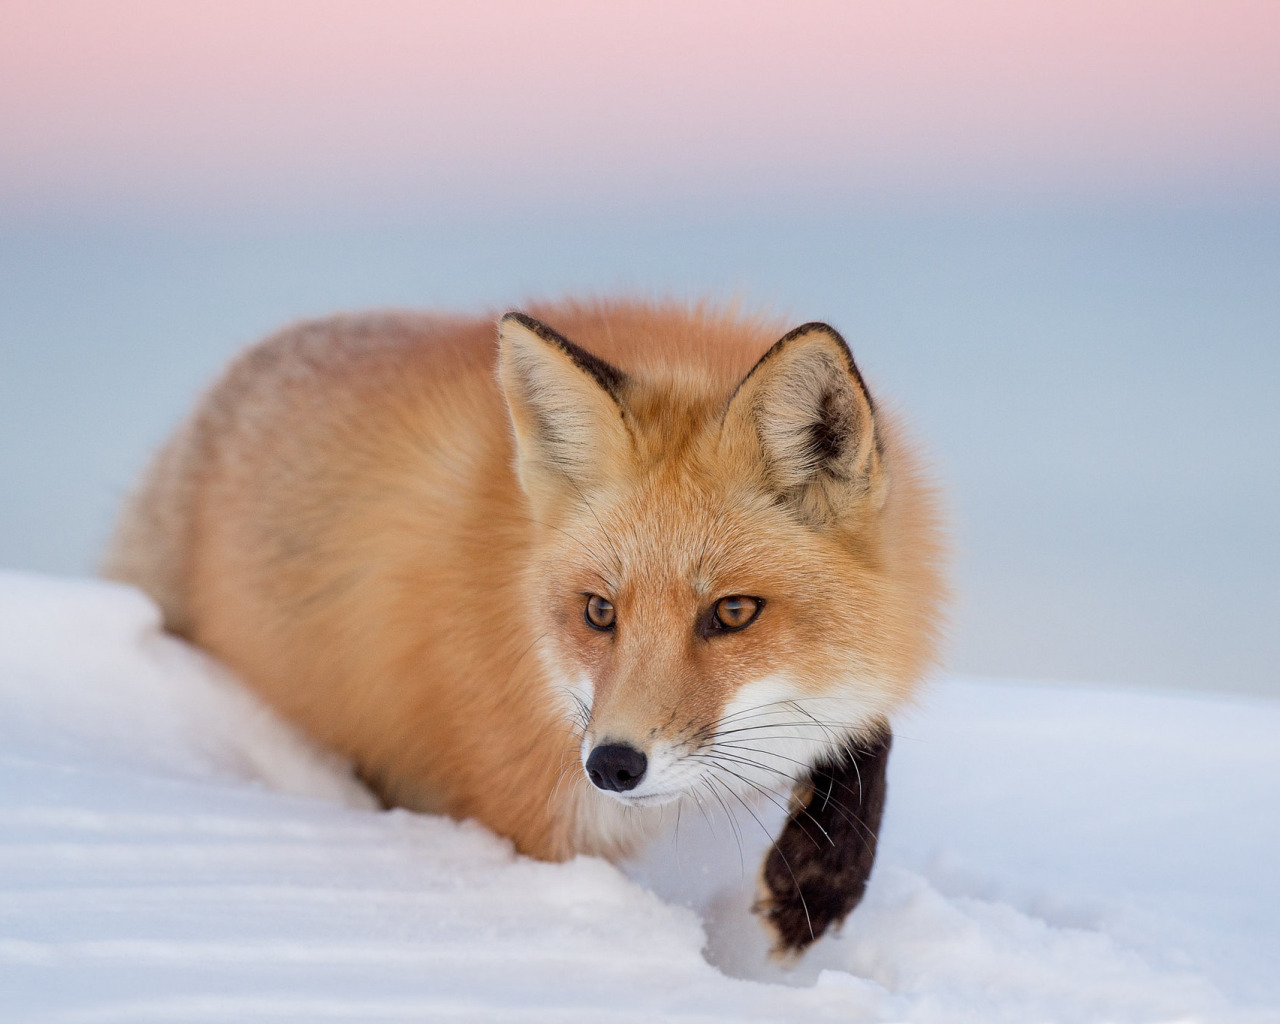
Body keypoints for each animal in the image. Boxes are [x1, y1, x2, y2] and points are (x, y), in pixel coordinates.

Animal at [104, 302, 947, 952]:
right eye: (599, 612)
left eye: (733, 613)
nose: (612, 765)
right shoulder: (529, 811)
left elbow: (866, 730)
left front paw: (817, 885)